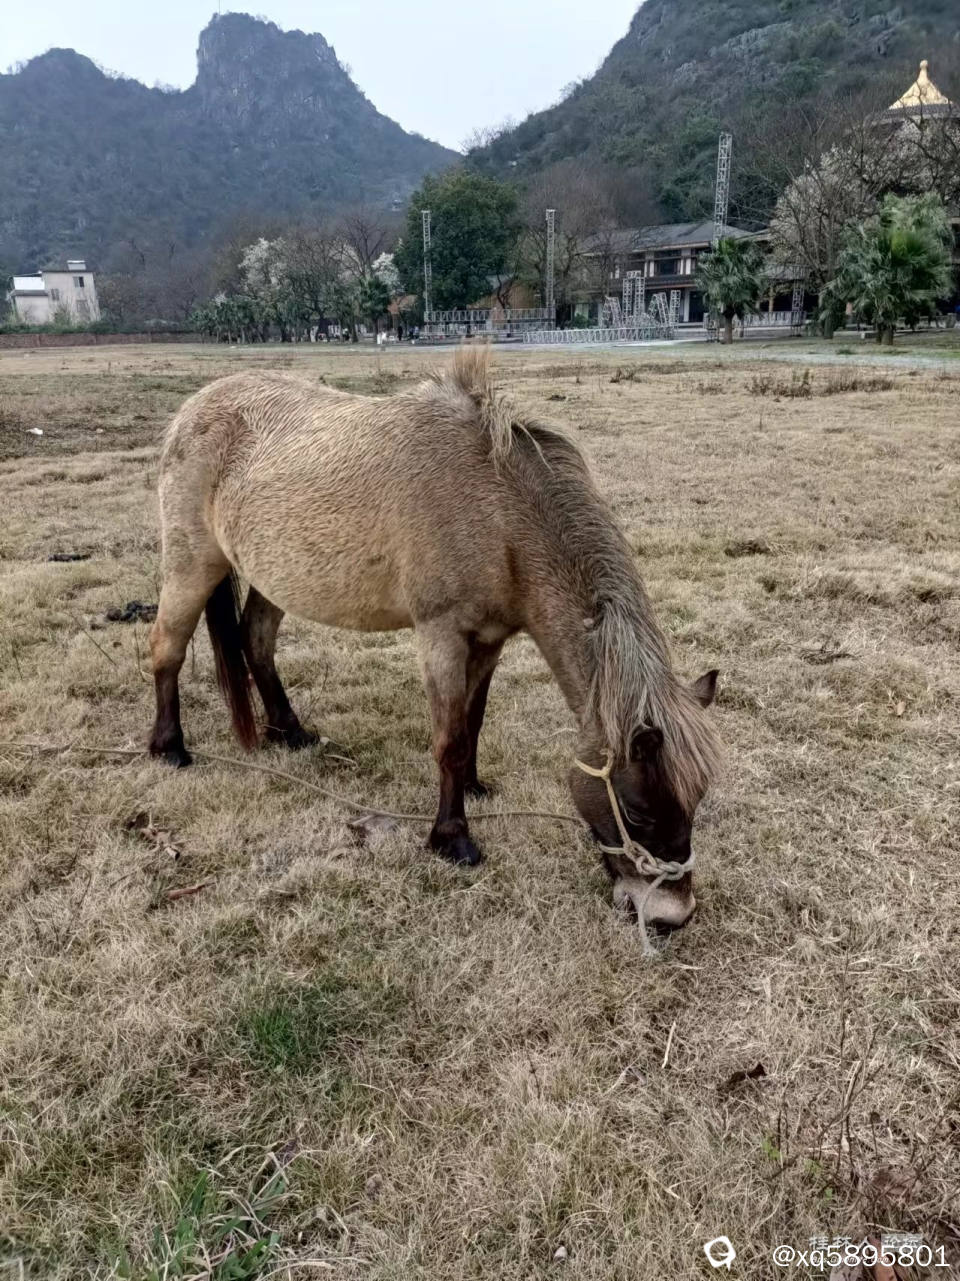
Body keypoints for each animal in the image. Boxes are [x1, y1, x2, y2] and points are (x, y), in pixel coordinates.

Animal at [148, 348, 720, 934]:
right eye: (637, 810)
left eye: (696, 801)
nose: (673, 915)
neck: (498, 509)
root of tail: (192, 409)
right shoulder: (441, 635)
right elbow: (448, 740)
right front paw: (452, 838)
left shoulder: (490, 640)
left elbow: (472, 722)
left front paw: (472, 787)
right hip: (193, 564)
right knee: (166, 646)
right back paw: (169, 746)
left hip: (277, 577)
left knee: (256, 641)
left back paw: (290, 731)